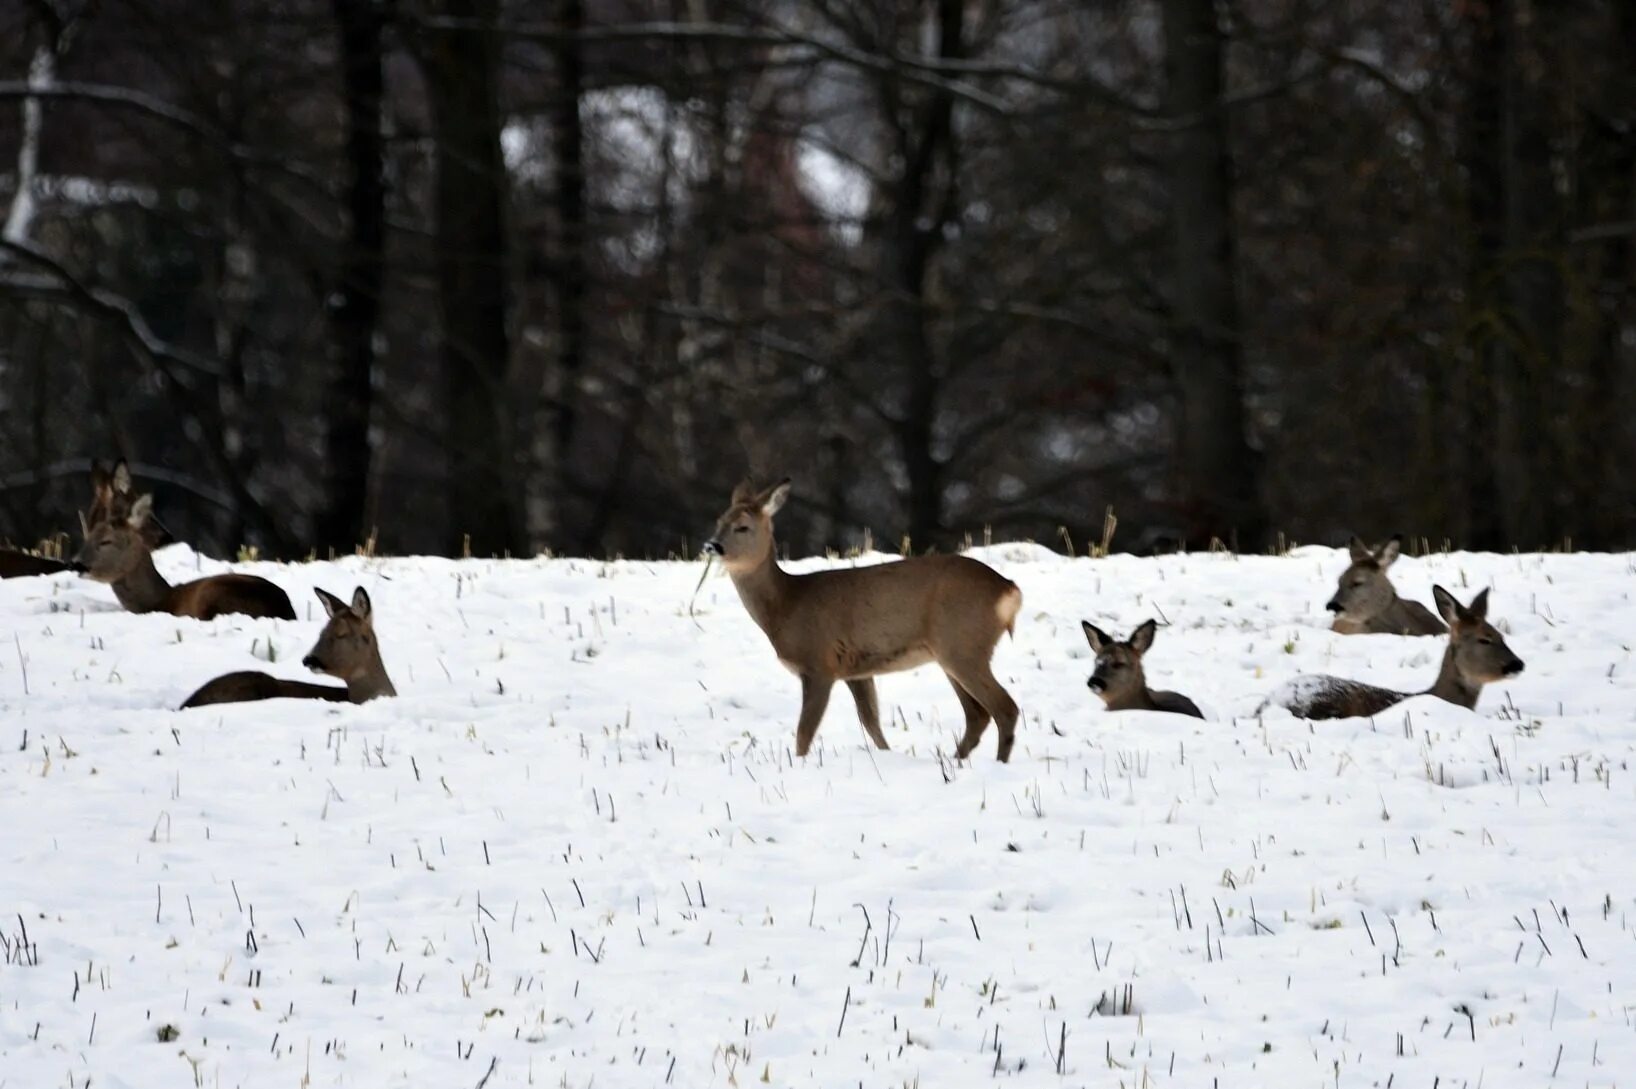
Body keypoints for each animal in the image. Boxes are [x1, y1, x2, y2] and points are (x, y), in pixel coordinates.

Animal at [703, 480, 1020, 758]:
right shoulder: (857, 670)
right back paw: (957, 761)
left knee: (1004, 708)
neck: (787, 605)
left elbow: (804, 733)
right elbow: (871, 723)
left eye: (743, 526)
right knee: (977, 714)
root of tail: (1008, 590)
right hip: (950, 652)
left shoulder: (819, 664)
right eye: (719, 521)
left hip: (962, 644)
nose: (712, 546)